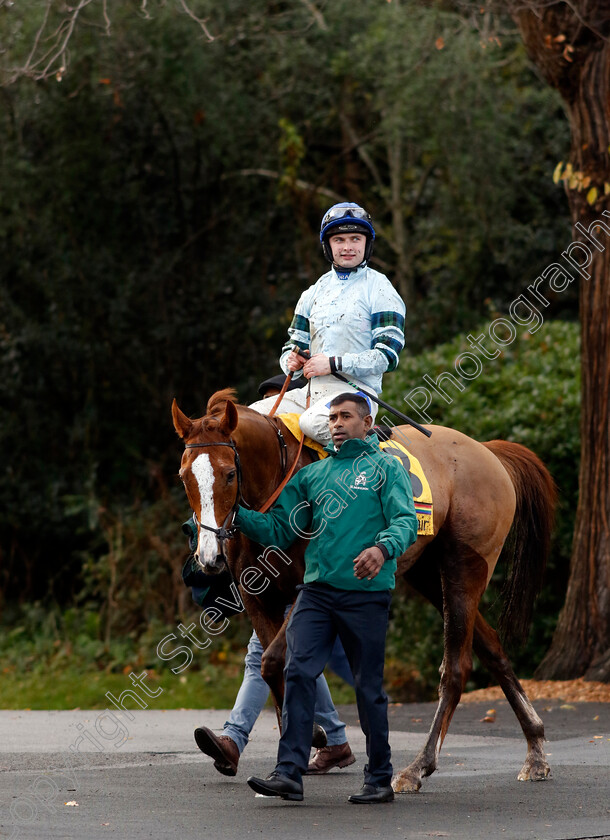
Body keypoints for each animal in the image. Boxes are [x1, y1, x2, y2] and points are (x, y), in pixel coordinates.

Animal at [172, 388, 556, 796]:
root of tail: (486, 450)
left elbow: (276, 661)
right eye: (184, 477)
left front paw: (313, 735)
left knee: (456, 667)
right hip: (428, 574)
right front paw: (293, 756)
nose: (208, 557)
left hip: (464, 568)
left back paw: (418, 767)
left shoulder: (310, 587)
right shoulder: (258, 598)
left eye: (229, 473)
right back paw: (535, 750)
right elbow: (270, 669)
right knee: (493, 650)